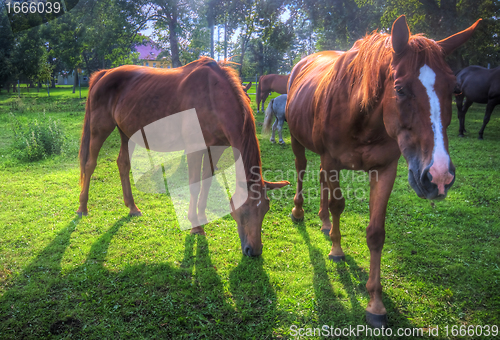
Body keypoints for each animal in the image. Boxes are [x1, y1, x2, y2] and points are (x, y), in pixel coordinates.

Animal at [286, 15, 480, 326]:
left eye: (454, 89)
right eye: (399, 89)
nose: (439, 176)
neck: (362, 116)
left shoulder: (385, 170)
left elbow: (376, 233)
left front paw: (375, 303)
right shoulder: (333, 160)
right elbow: (339, 205)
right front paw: (337, 250)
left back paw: (324, 222)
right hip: (298, 141)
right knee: (302, 171)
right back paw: (300, 211)